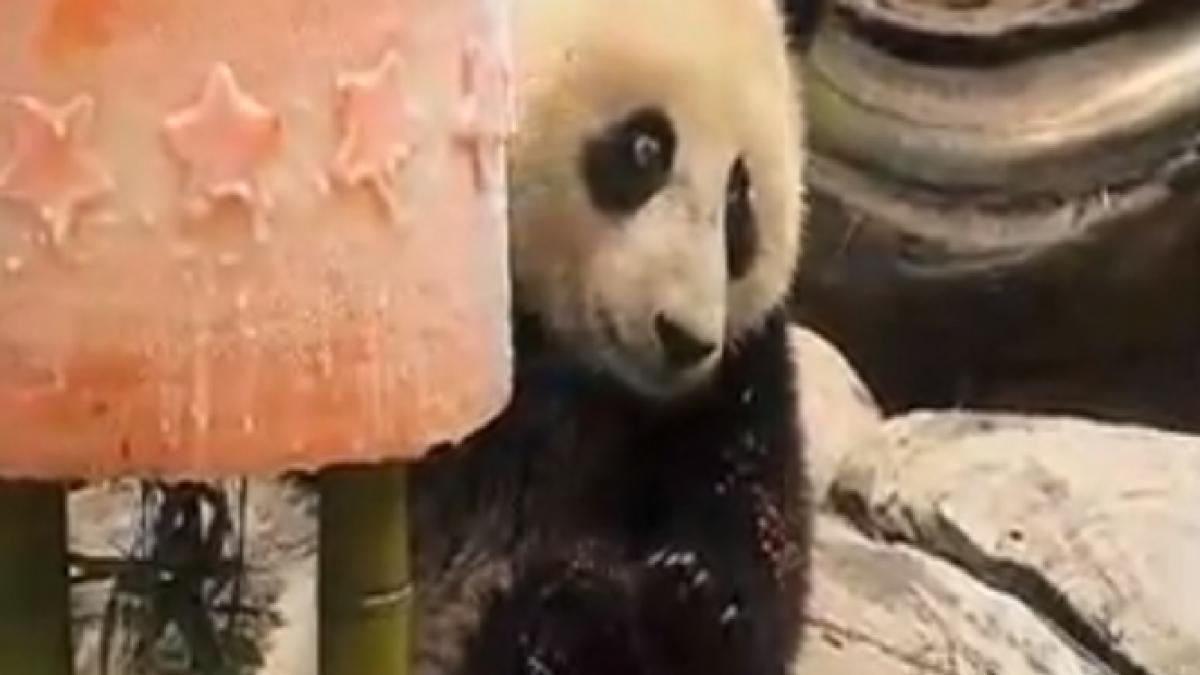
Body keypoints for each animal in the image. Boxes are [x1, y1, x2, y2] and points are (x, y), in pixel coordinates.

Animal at [411, 1, 824, 674]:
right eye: (646, 147)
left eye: (741, 198)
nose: (682, 338)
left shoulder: (730, 386)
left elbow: (758, 555)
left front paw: (647, 599)